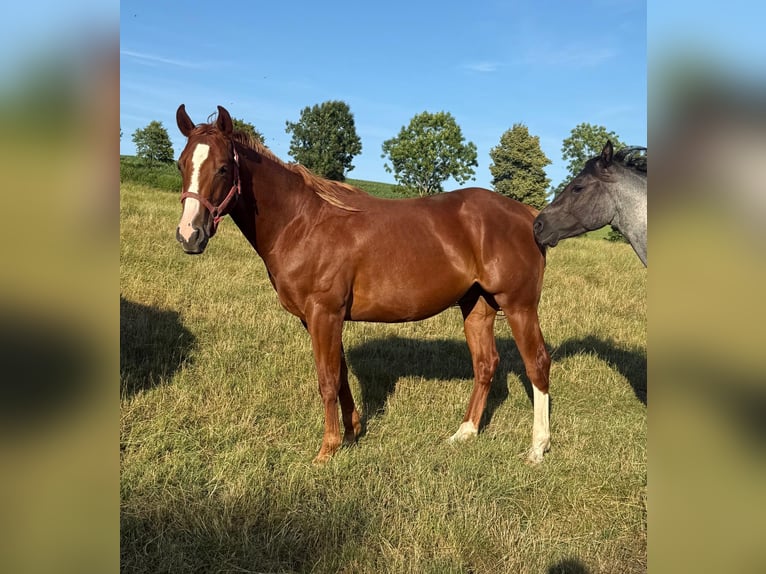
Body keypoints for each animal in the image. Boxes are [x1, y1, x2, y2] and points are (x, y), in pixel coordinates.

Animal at [174, 104, 552, 464]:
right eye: (181, 165)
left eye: (223, 168)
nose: (189, 235)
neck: (301, 223)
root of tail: (528, 215)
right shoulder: (320, 319)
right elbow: (340, 375)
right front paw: (352, 432)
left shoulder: (324, 313)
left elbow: (327, 380)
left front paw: (327, 449)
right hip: (477, 305)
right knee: (486, 364)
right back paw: (465, 433)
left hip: (519, 306)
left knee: (537, 364)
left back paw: (537, 448)